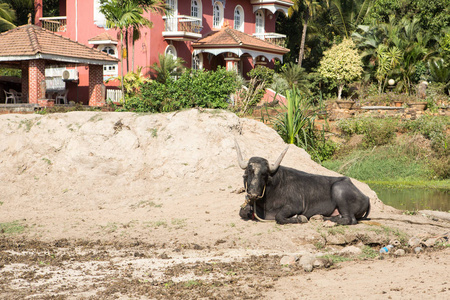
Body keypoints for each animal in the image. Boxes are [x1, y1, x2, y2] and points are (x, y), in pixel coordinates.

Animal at [236, 142, 370, 224]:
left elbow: (279, 217)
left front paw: (300, 218)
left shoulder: (295, 206)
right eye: (249, 171)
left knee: (349, 219)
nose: (253, 194)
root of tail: (366, 197)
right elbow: (242, 212)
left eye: (264, 174)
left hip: (338, 189)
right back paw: (321, 217)